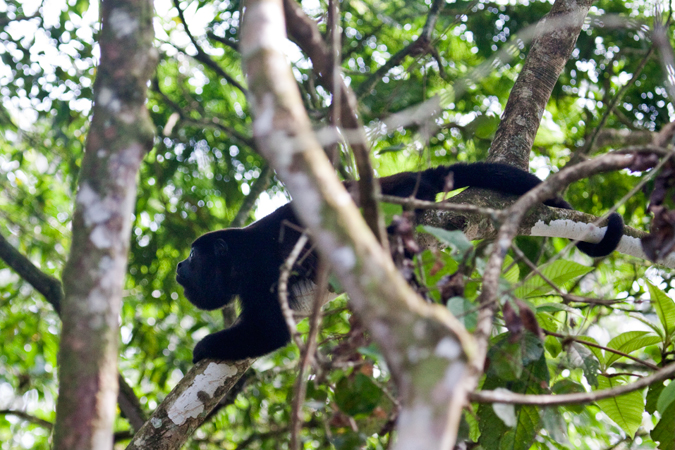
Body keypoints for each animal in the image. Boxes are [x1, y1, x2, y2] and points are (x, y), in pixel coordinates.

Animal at [177, 162, 624, 362]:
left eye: (194, 255)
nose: (180, 266)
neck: (237, 259)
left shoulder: (262, 273)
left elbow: (270, 331)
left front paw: (205, 346)